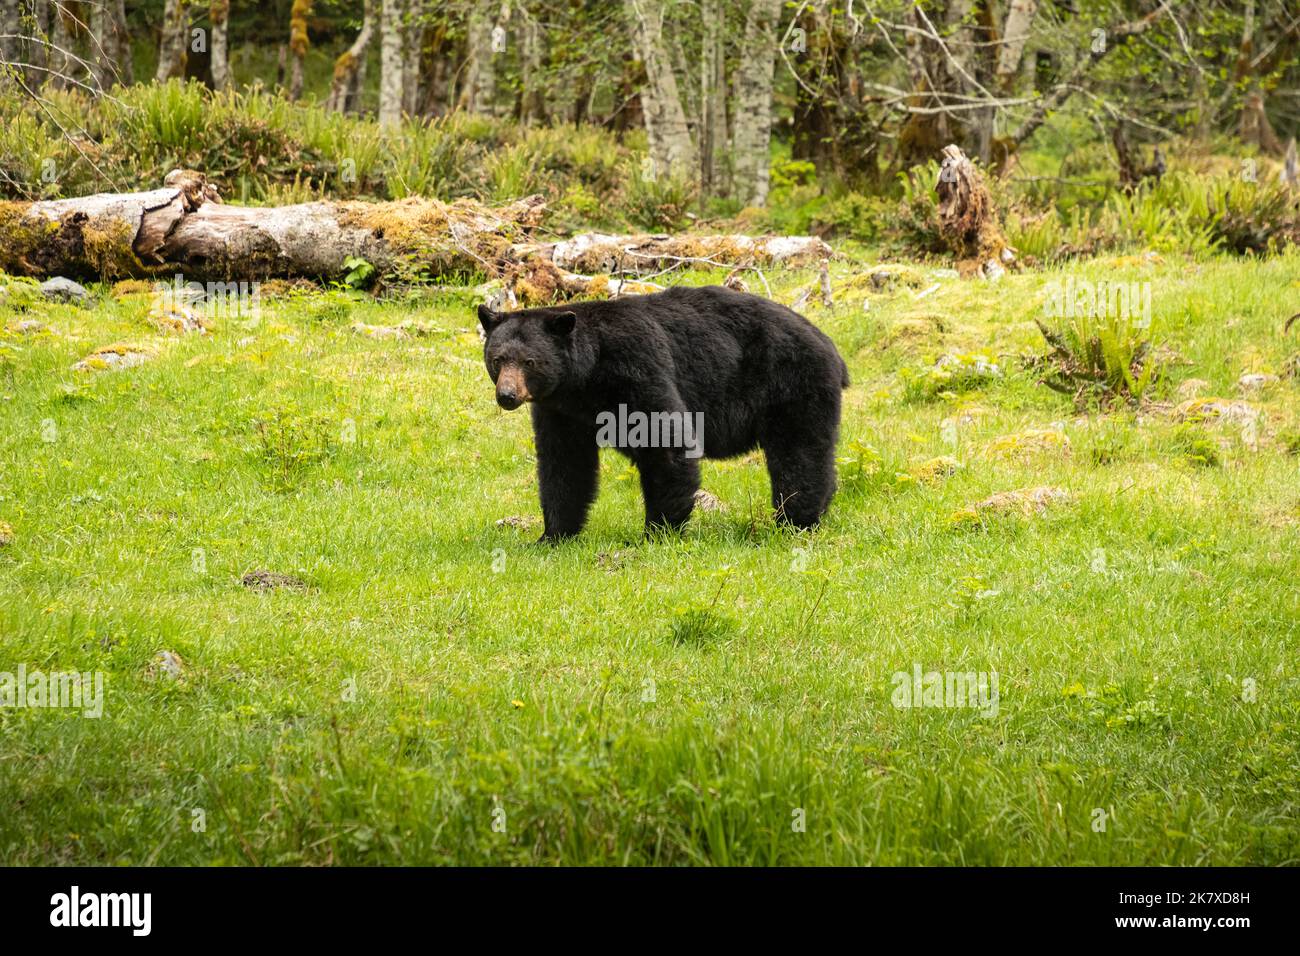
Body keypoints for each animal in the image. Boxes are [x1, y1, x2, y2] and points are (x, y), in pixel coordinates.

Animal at [483, 283, 847, 541]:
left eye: (530, 361)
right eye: (498, 359)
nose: (507, 395)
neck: (586, 377)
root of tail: (829, 345)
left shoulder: (636, 367)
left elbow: (664, 440)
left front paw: (658, 532)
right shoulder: (560, 410)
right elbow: (564, 464)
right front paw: (551, 535)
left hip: (792, 385)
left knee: (799, 454)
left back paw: (795, 521)